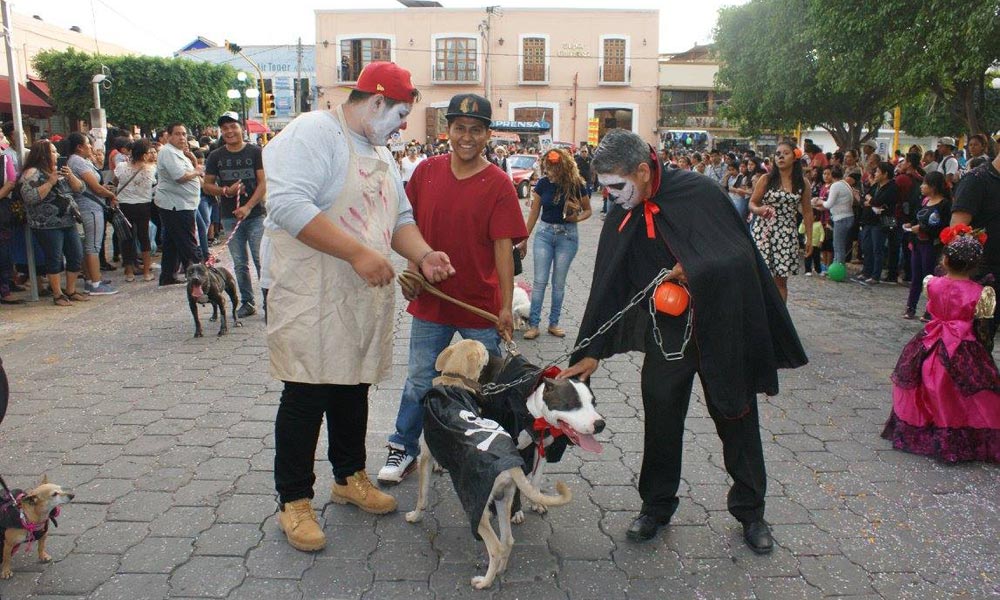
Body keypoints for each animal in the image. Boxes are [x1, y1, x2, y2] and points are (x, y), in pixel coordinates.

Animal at [406, 340, 576, 588]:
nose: (491, 346)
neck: (452, 381)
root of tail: (510, 464)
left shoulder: (426, 457)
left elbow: (422, 496)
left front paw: (415, 516)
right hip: (503, 500)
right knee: (508, 541)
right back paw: (500, 571)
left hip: (477, 508)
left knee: (495, 547)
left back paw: (484, 582)